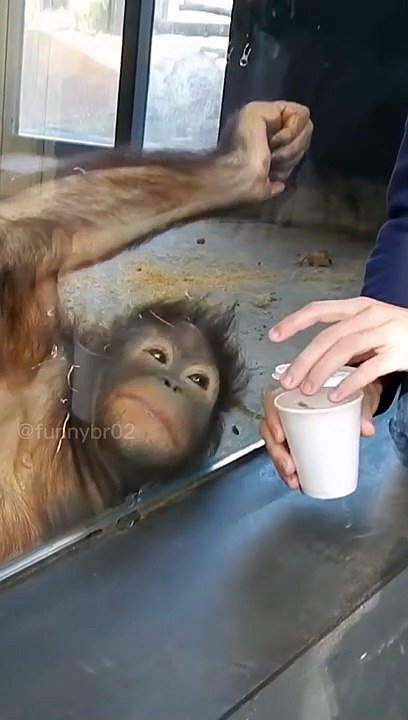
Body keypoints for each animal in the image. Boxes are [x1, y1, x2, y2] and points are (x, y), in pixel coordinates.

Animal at [0, 101, 312, 561]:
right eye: (158, 356)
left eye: (197, 380)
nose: (170, 382)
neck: (83, 448)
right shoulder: (35, 353)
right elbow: (25, 235)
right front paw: (247, 157)